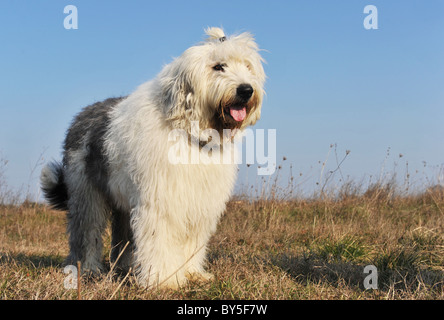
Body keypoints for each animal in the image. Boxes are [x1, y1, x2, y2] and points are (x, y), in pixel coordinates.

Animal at [40, 27, 266, 288]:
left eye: (248, 66)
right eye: (218, 66)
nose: (246, 90)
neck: (190, 131)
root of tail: (82, 114)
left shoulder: (198, 202)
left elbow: (191, 241)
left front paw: (192, 273)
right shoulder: (162, 201)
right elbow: (160, 239)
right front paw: (165, 279)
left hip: (123, 201)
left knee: (122, 236)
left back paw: (125, 267)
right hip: (85, 193)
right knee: (86, 231)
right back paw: (87, 269)